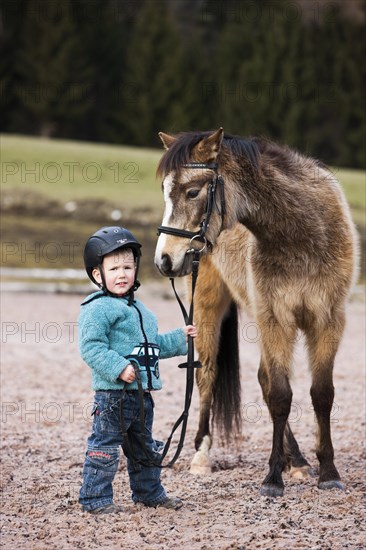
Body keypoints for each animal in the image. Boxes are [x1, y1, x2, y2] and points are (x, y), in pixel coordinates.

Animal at [153, 127, 358, 498]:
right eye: (165, 191)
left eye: (192, 191)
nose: (164, 260)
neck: (301, 235)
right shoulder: (275, 320)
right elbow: (280, 395)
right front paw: (272, 477)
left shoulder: (327, 321)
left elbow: (321, 394)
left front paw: (328, 472)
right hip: (207, 308)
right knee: (207, 375)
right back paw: (202, 456)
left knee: (263, 379)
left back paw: (298, 460)